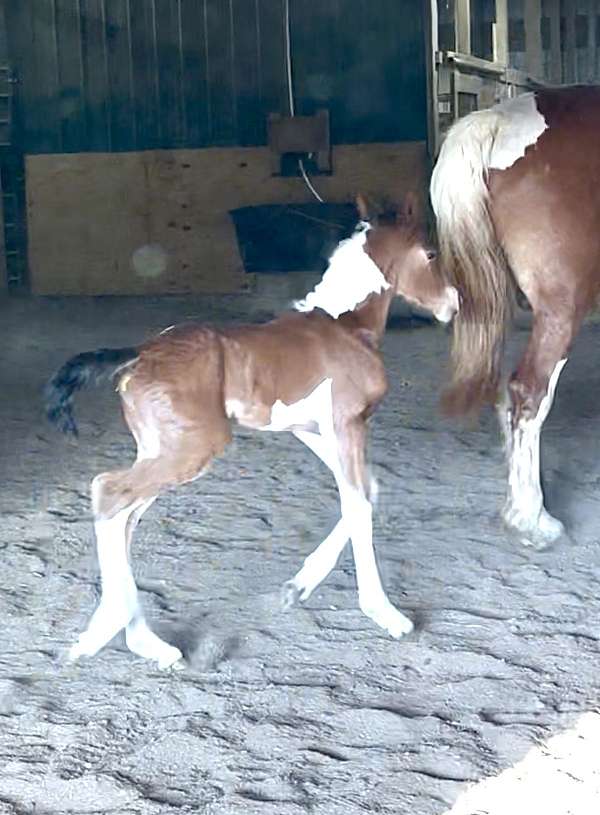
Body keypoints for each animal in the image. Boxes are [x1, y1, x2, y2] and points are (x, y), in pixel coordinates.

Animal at [44, 194, 459, 669]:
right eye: (431, 254)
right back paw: (105, 633)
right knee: (108, 493)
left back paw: (146, 642)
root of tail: (139, 355)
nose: (453, 303)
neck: (345, 325)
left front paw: (298, 586)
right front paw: (385, 614)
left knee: (124, 517)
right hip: (192, 448)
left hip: (160, 449)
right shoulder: (347, 423)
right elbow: (357, 504)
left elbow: (365, 490)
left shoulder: (311, 429)